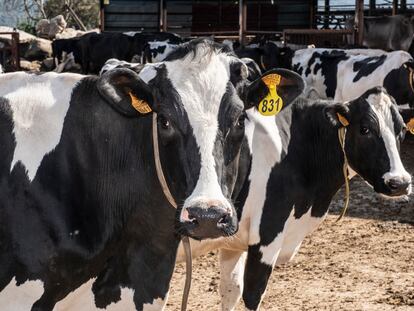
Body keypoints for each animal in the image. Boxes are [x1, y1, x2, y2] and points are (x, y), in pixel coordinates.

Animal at [172, 86, 410, 311]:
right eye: (364, 129)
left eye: (402, 130)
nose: (399, 182)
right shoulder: (267, 235)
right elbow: (252, 295)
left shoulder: (233, 242)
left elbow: (230, 290)